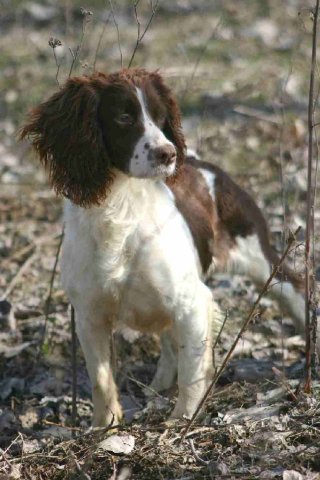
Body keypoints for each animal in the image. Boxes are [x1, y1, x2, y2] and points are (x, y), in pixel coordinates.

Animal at [20, 69, 304, 426]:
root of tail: (200, 163)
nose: (168, 154)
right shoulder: (89, 313)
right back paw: (156, 388)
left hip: (261, 259)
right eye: (124, 117)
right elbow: (101, 379)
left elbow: (191, 371)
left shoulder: (191, 301)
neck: (120, 207)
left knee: (295, 289)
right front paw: (104, 428)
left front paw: (183, 420)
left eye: (160, 118)